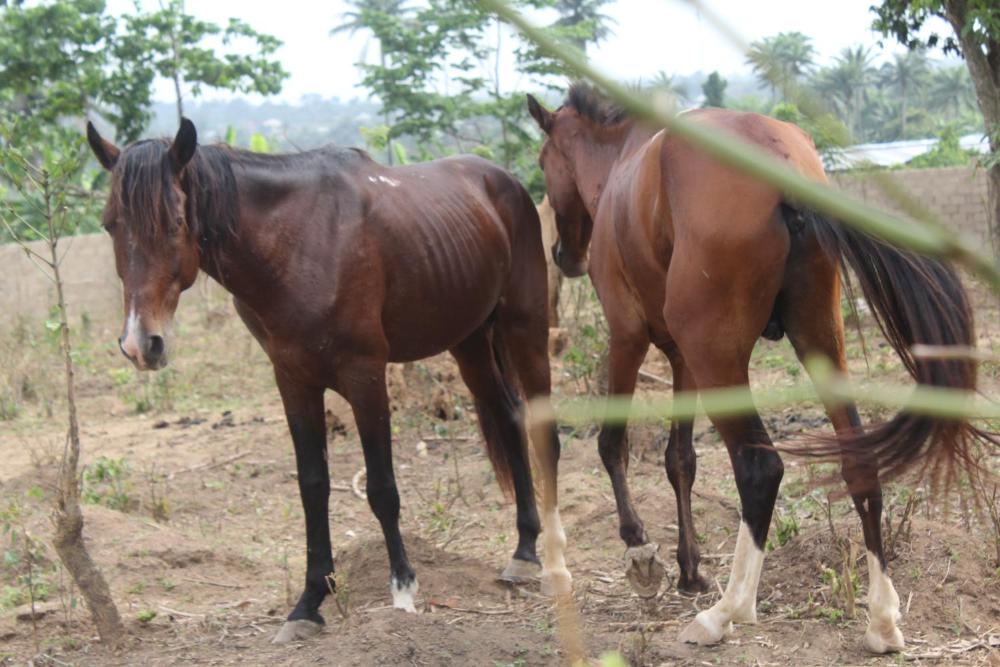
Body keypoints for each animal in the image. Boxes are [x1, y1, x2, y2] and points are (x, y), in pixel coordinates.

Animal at [85, 119, 570, 643]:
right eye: (110, 224)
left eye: (175, 222)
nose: (141, 343)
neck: (299, 243)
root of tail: (505, 181)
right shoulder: (292, 380)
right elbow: (312, 486)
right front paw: (308, 603)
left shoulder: (366, 376)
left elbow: (381, 488)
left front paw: (403, 589)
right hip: (470, 342)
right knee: (508, 418)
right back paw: (523, 552)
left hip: (525, 326)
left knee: (543, 430)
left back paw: (553, 560)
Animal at [527, 83, 995, 653]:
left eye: (543, 162)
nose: (562, 254)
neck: (622, 163)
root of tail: (780, 164)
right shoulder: (681, 358)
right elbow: (680, 459)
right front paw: (688, 569)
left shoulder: (628, 337)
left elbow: (612, 444)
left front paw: (640, 554)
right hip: (816, 340)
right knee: (858, 463)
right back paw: (881, 620)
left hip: (718, 356)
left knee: (759, 468)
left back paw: (726, 611)